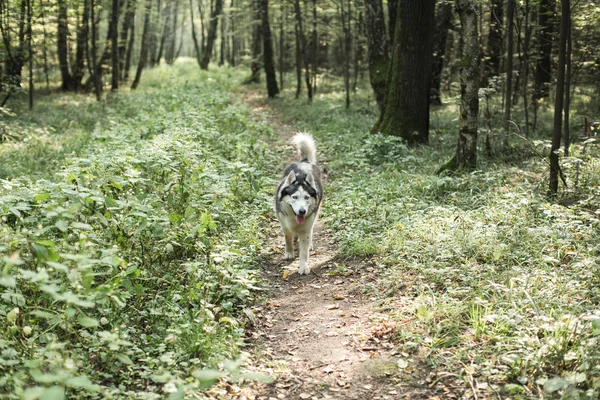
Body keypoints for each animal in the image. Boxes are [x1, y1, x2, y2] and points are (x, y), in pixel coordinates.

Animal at [276, 133, 324, 274]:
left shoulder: (306, 228)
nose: (302, 211)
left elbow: (304, 251)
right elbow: (287, 239)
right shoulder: (284, 224)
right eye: (295, 197)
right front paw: (289, 252)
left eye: (307, 197)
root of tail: (304, 162)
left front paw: (303, 266)